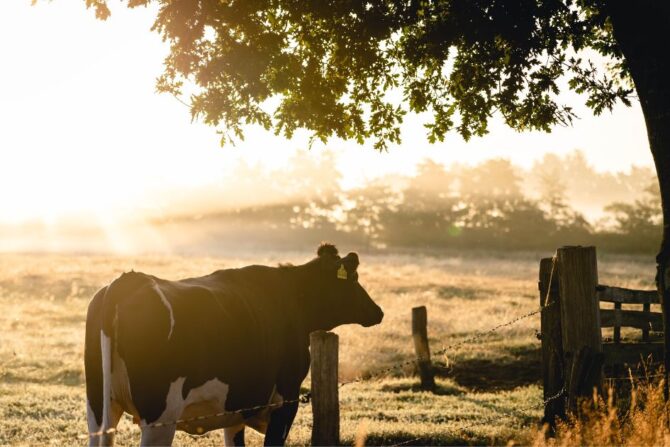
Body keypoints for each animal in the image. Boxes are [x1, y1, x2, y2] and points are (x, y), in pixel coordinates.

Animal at [85, 243, 383, 446]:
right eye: (354, 279)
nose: (378, 311)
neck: (291, 298)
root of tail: (129, 280)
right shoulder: (285, 400)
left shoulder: (237, 408)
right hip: (159, 416)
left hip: (99, 409)